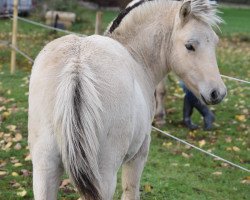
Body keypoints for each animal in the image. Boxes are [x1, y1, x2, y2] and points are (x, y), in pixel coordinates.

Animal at [28, 0, 227, 199]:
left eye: (215, 42)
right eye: (189, 46)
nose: (218, 92)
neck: (136, 58)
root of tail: (76, 64)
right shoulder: (139, 155)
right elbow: (131, 191)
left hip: (45, 168)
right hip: (104, 175)